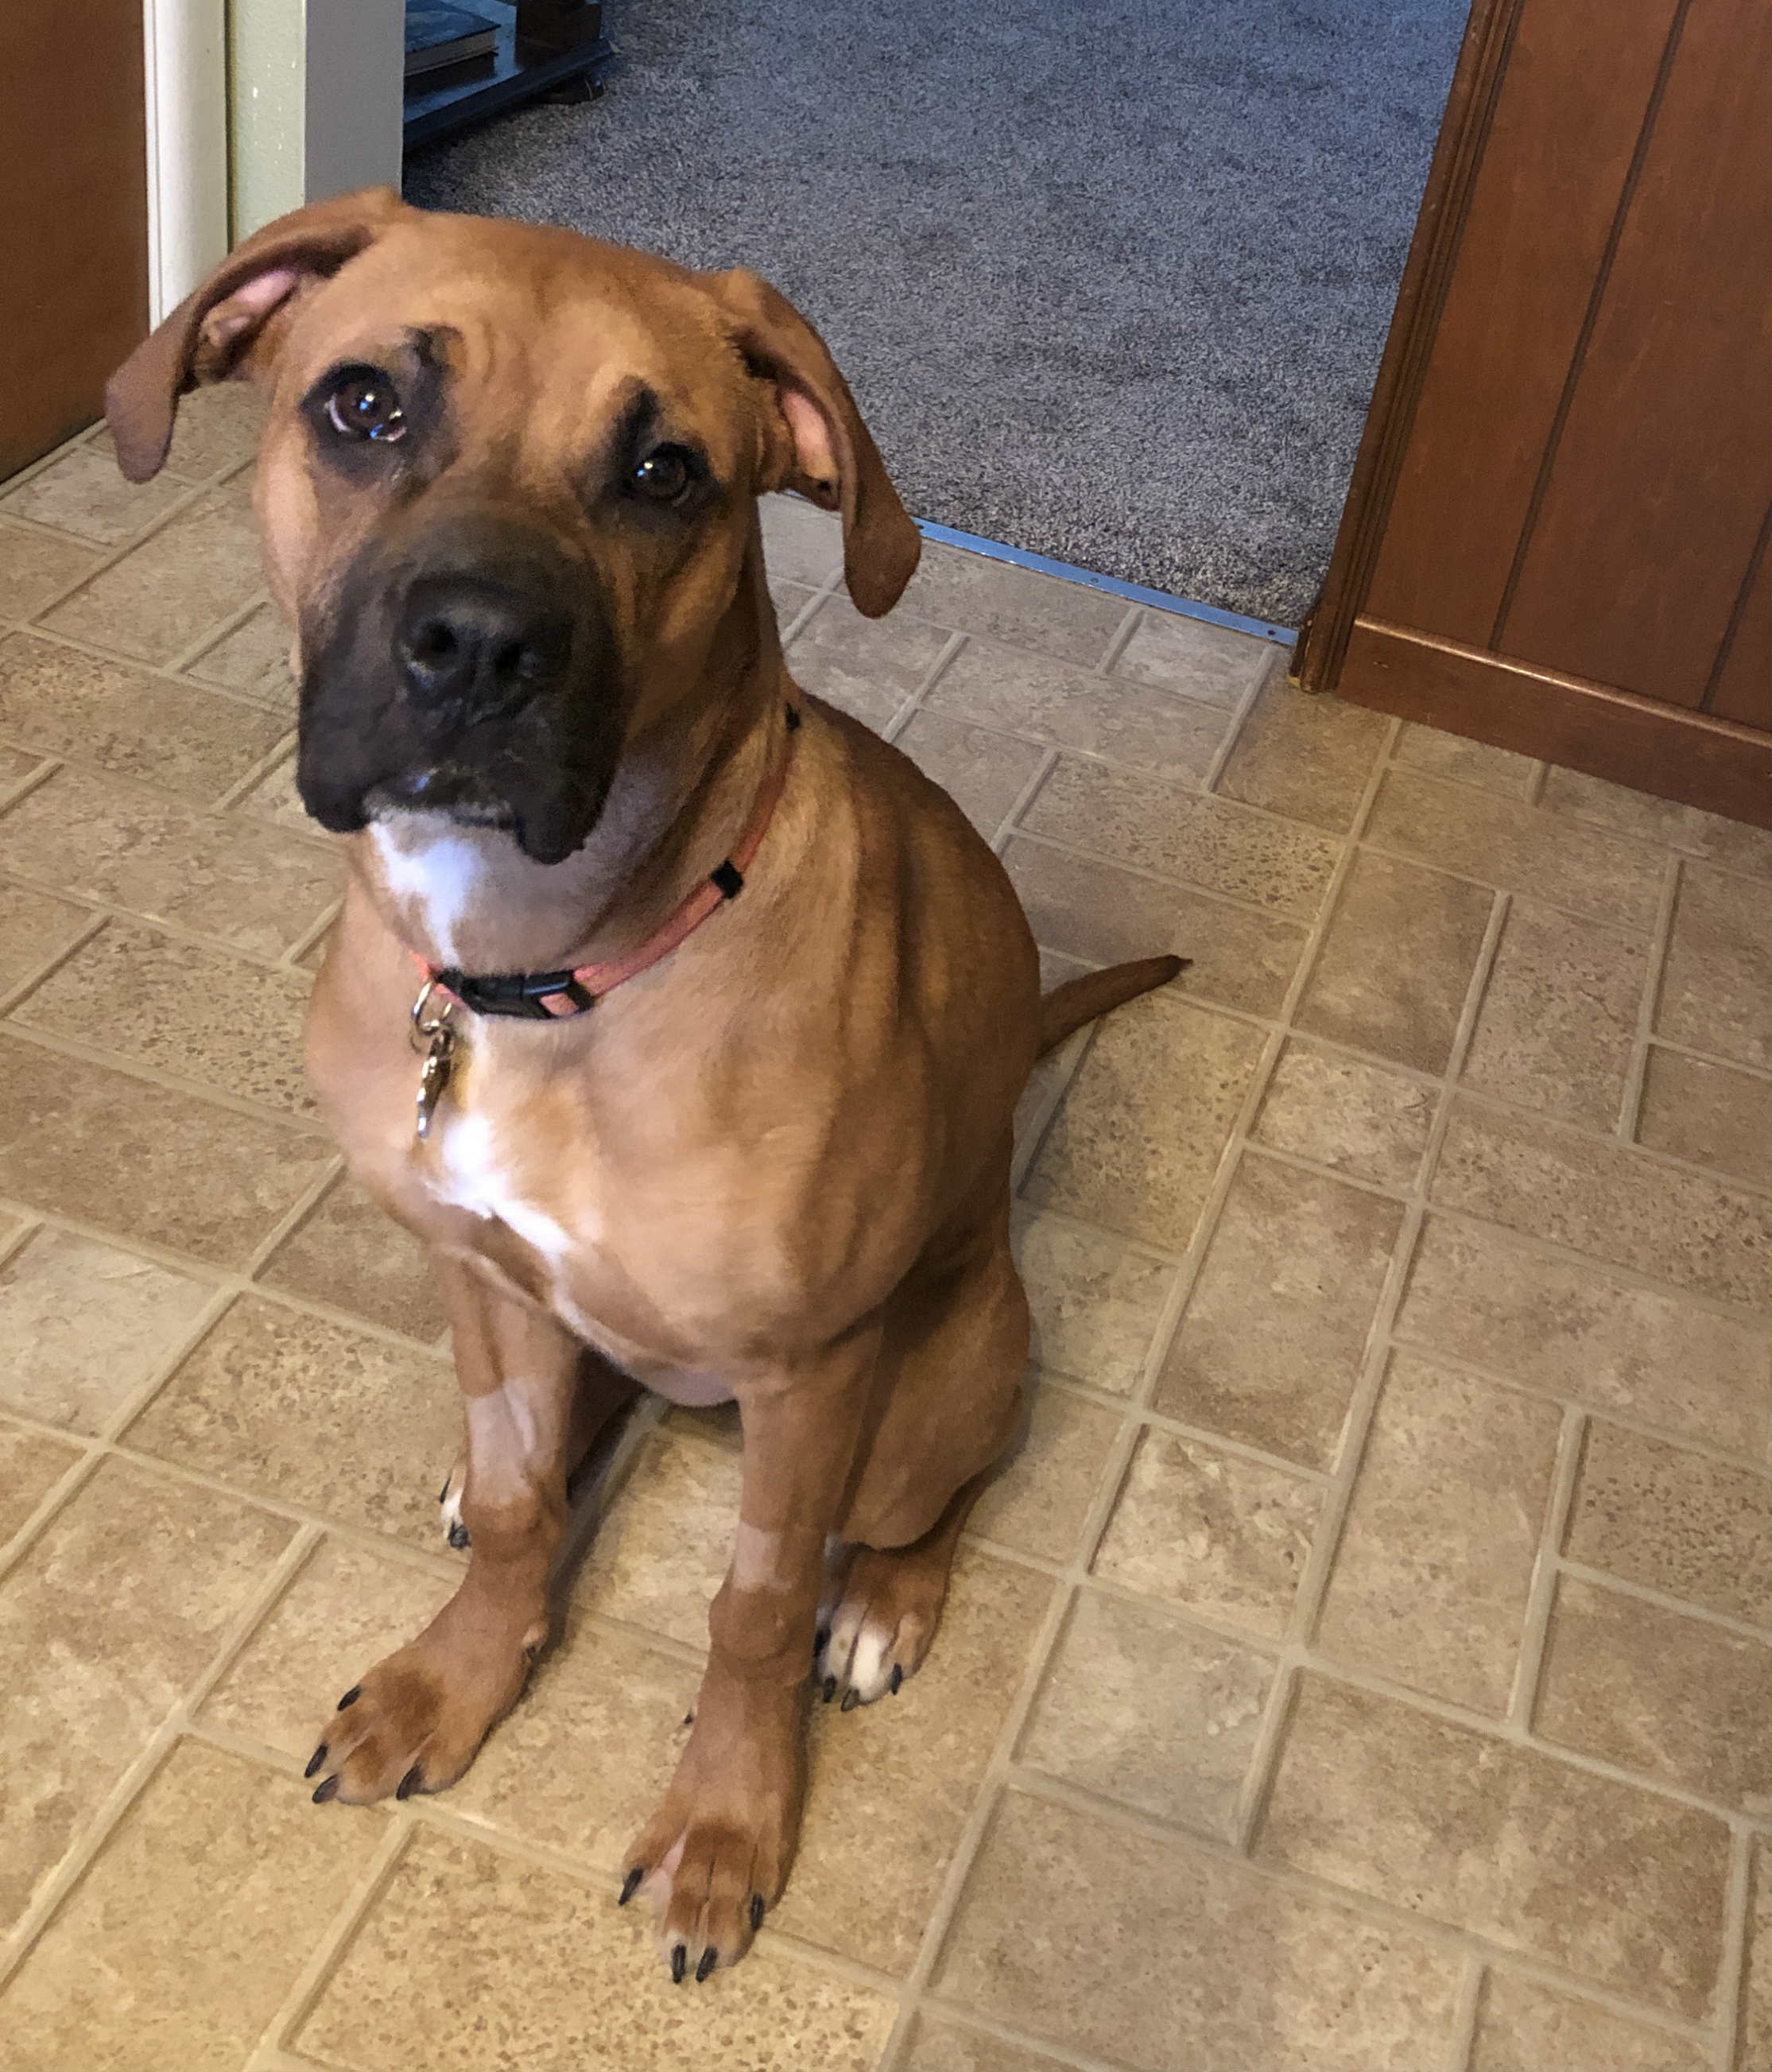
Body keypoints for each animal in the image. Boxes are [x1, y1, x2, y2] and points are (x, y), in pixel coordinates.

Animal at [107, 190, 1177, 1972]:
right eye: (361, 405)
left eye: (667, 472)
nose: (478, 646)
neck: (552, 973)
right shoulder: (475, 1271)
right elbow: (522, 1508)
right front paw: (458, 1676)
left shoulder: (811, 1375)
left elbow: (749, 1607)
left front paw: (724, 1822)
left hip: (937, 1382)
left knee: (926, 1497)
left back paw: (883, 1598)